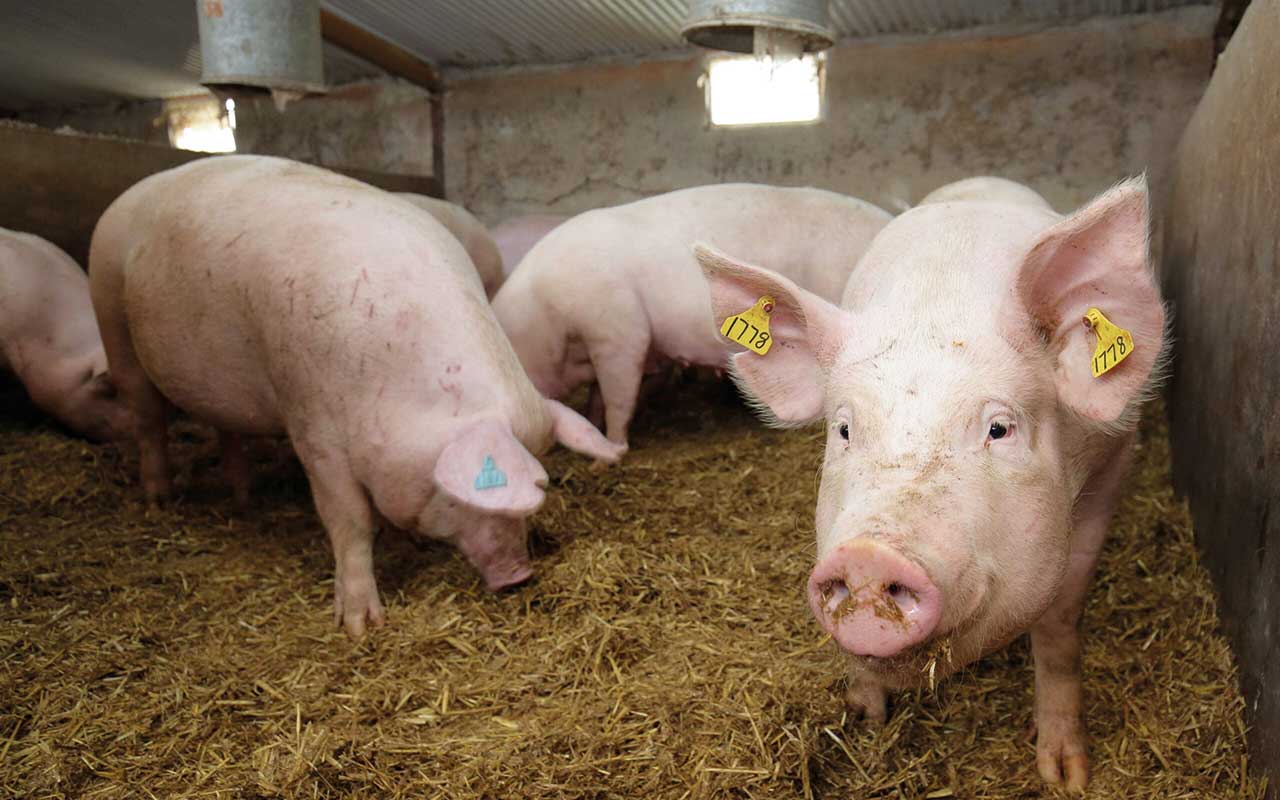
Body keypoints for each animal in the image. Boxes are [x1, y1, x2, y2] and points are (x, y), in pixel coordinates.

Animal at [90, 155, 622, 638]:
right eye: (471, 496)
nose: (519, 575)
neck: (393, 389)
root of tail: (139, 187)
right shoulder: (312, 425)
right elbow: (348, 519)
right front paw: (361, 626)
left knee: (226, 427)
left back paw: (243, 499)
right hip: (112, 318)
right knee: (147, 419)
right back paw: (159, 502)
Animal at [697, 176, 1166, 790]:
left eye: (998, 428)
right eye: (844, 429)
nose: (870, 556)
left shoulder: (1112, 466)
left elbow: (1060, 624)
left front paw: (1065, 776)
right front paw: (863, 721)